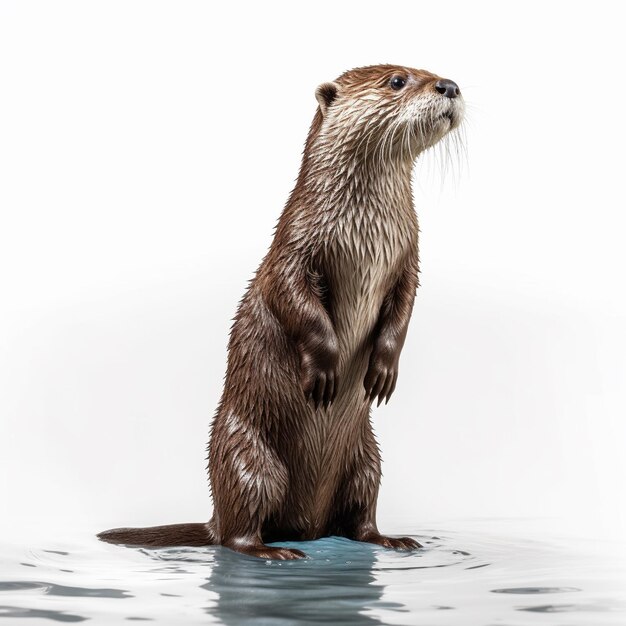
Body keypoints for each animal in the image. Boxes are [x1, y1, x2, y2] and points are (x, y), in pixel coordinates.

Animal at [96, 64, 458, 560]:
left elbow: (403, 309)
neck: (367, 233)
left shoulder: (409, 258)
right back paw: (271, 551)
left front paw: (384, 369)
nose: (450, 86)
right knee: (238, 529)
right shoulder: (292, 248)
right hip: (247, 455)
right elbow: (294, 301)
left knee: (360, 517)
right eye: (398, 81)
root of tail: (307, 525)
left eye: (431, 72)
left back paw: (392, 539)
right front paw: (325, 369)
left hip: (368, 459)